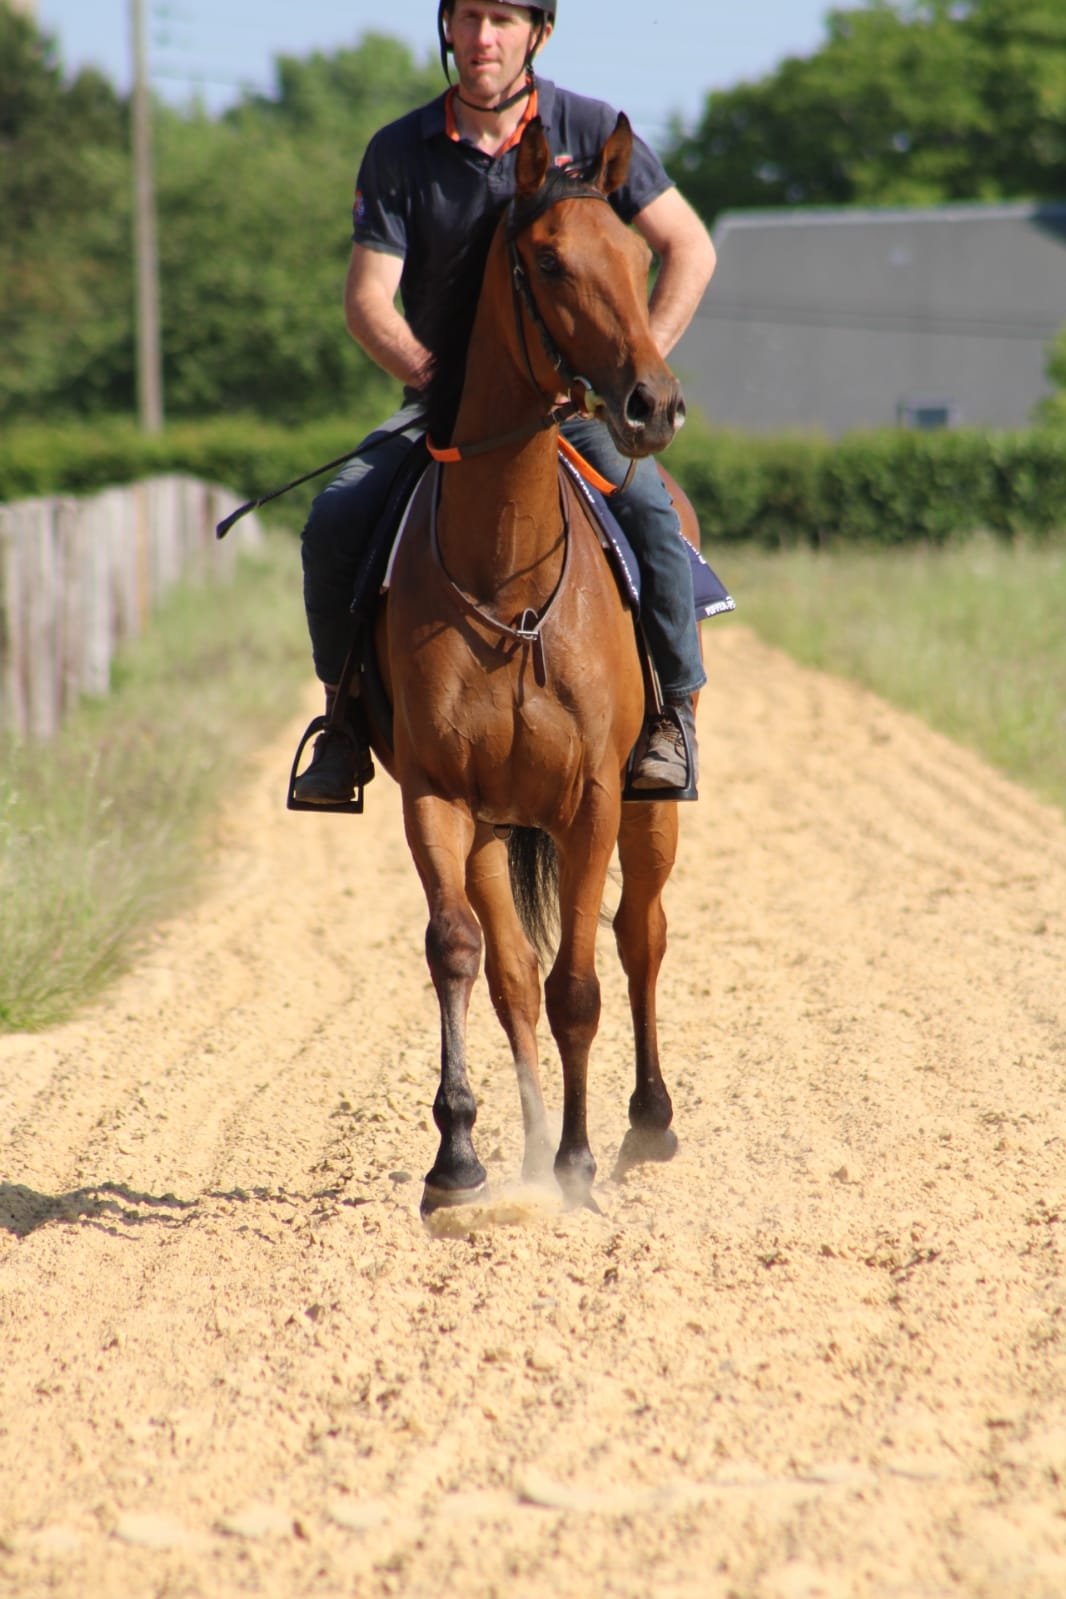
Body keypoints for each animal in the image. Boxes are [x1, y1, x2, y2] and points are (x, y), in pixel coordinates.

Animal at [369, 112, 692, 1214]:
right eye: (547, 261)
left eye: (636, 256)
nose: (651, 403)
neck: (506, 578)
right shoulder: (438, 796)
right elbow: (463, 954)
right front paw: (460, 1161)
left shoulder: (592, 795)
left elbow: (581, 985)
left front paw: (581, 1169)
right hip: (492, 827)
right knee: (510, 970)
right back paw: (528, 1147)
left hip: (647, 807)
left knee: (640, 935)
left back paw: (645, 1126)